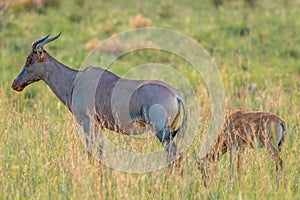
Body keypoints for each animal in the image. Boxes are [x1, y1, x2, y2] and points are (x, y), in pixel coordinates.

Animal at [11, 32, 186, 161]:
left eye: (29, 60)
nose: (15, 84)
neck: (75, 80)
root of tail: (176, 94)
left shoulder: (87, 122)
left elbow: (91, 150)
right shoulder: (99, 125)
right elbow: (100, 151)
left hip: (161, 130)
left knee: (173, 153)